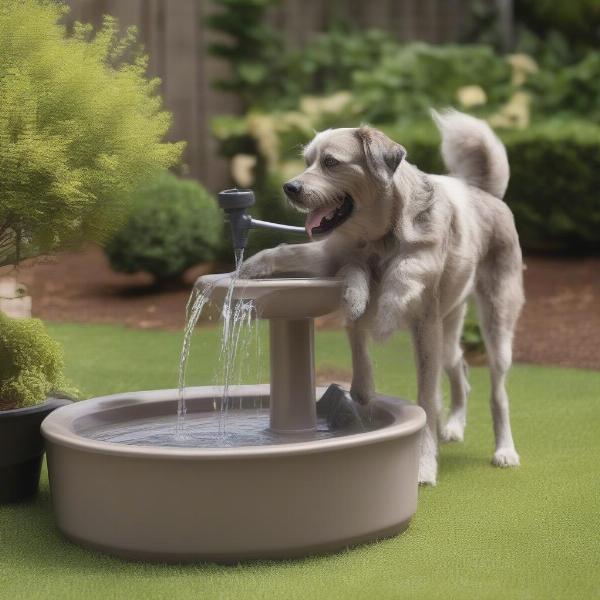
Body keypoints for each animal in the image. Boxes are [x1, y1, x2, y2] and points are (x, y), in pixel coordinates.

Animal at [241, 109, 524, 482]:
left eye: (330, 162)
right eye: (307, 162)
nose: (289, 187)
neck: (379, 238)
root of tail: (485, 192)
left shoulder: (425, 326)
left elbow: (426, 401)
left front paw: (424, 465)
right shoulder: (334, 264)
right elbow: (344, 297)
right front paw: (246, 270)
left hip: (495, 326)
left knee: (498, 393)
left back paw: (504, 450)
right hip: (449, 328)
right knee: (460, 367)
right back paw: (454, 427)